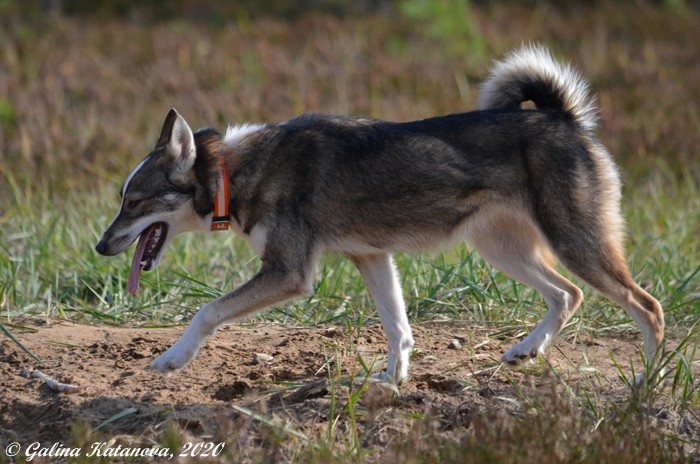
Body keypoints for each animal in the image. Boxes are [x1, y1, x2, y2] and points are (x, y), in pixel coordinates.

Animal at [95, 45, 664, 384]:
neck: (233, 171)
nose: (99, 247)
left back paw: (646, 382)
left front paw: (174, 357)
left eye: (133, 202)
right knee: (568, 295)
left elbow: (207, 312)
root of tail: (561, 116)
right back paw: (527, 350)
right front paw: (393, 380)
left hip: (575, 245)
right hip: (502, 249)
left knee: (648, 308)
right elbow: (399, 328)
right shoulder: (371, 258)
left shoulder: (288, 274)